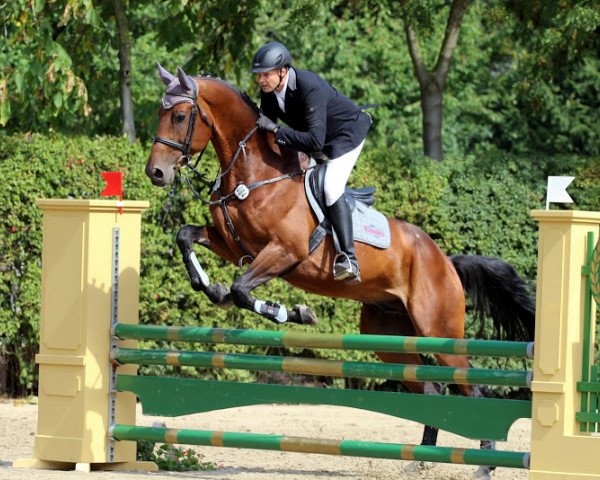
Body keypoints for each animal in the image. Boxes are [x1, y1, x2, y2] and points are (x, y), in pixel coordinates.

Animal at [145, 65, 536, 478]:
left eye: (180, 116)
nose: (155, 173)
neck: (253, 172)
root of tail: (445, 260)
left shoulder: (285, 252)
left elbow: (242, 289)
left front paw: (293, 312)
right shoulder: (233, 244)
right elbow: (186, 237)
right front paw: (209, 287)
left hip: (440, 331)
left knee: (474, 387)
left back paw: (485, 464)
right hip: (389, 337)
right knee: (433, 388)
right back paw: (421, 460)